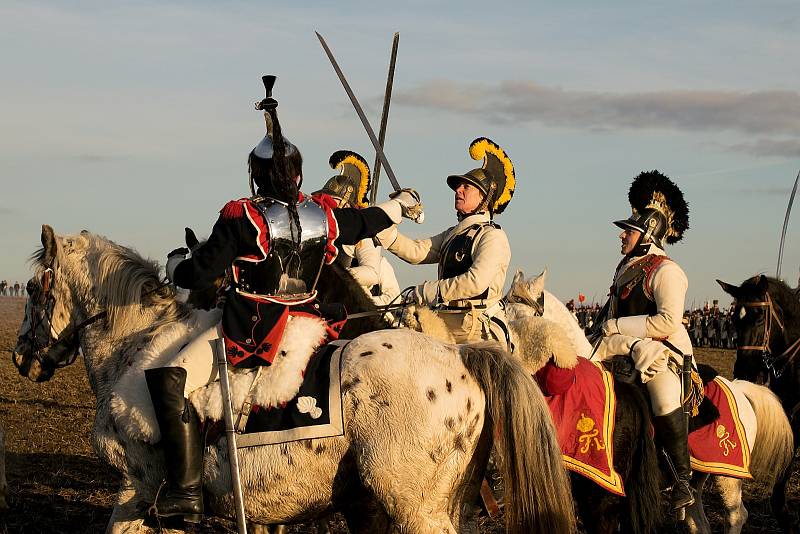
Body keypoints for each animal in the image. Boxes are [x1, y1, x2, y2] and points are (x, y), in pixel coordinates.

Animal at [10, 227, 576, 534]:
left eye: (35, 288)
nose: (21, 356)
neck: (137, 342)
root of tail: (459, 355)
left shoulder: (138, 486)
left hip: (416, 510)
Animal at [506, 272, 792, 534]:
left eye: (522, 317)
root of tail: (739, 388)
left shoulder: (607, 493)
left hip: (728, 474)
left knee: (736, 515)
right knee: (698, 519)